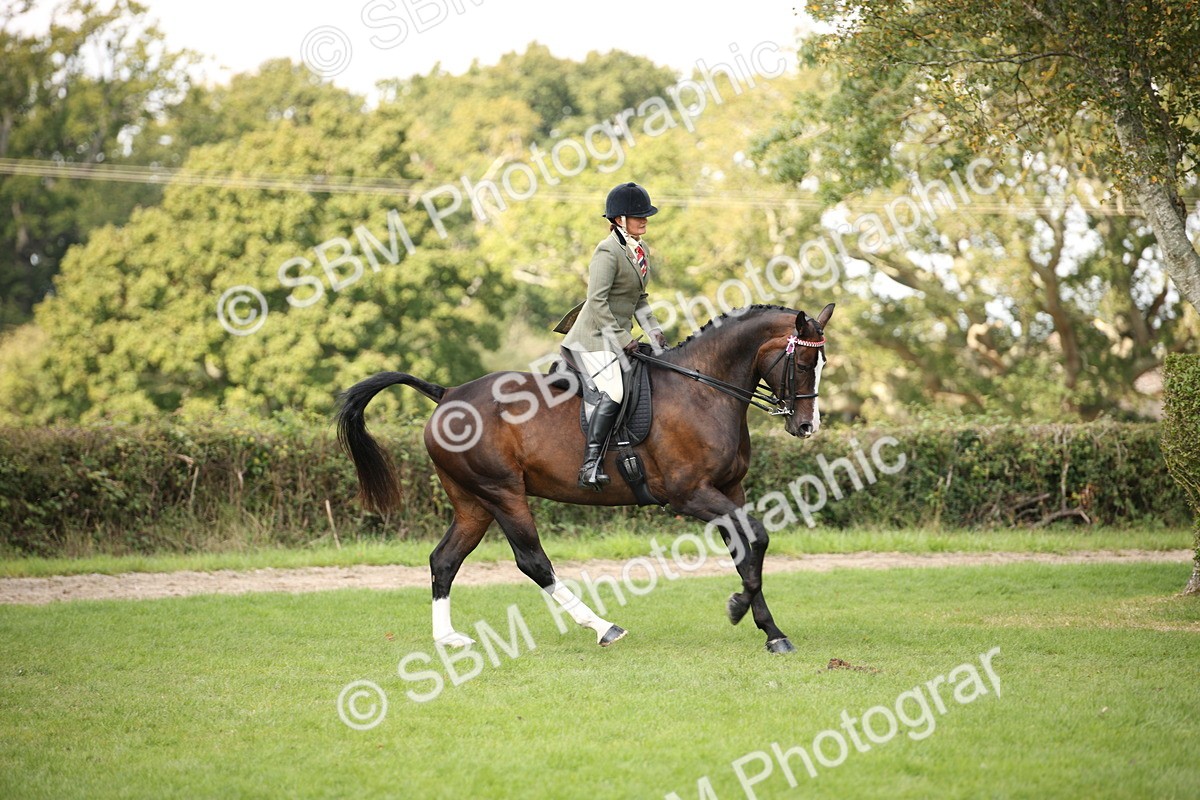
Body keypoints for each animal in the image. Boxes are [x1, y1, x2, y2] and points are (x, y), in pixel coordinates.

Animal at [335, 303, 834, 654]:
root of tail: (447, 393)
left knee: (444, 560)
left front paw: (771, 631)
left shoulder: (730, 490)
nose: (807, 426)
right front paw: (738, 608)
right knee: (533, 562)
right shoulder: (690, 495)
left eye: (821, 364)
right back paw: (603, 626)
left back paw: (448, 639)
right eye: (802, 365)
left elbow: (748, 549)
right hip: (502, 494)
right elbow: (758, 537)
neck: (703, 389)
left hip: (473, 502)